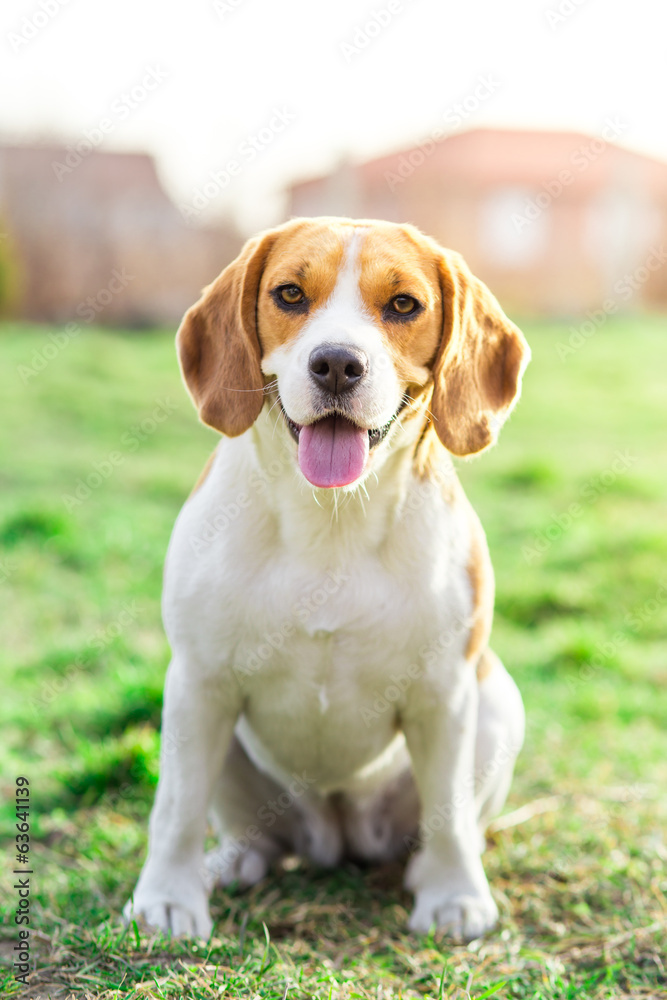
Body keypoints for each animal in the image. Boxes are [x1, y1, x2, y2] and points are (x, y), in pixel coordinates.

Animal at [124, 215, 532, 940]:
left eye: (403, 304)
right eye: (290, 294)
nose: (337, 363)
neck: (331, 519)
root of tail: (337, 835)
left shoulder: (445, 694)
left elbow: (450, 812)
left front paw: (454, 895)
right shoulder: (198, 681)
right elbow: (175, 806)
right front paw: (167, 899)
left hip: (495, 705)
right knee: (249, 832)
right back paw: (232, 862)